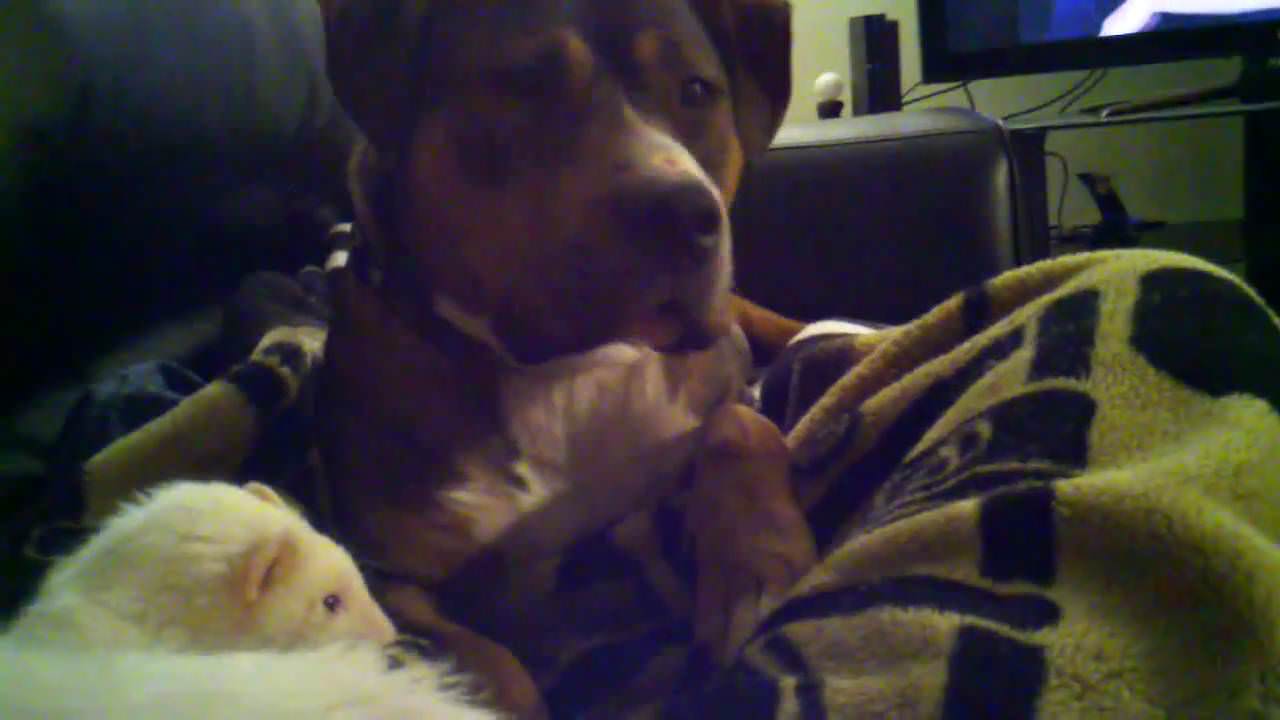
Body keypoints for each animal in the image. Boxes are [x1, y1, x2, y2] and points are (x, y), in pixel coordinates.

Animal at [312, 0, 816, 690]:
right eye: (522, 87)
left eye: (696, 91)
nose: (681, 213)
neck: (569, 372)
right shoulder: (389, 581)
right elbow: (487, 664)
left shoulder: (726, 384)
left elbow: (739, 424)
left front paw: (756, 567)